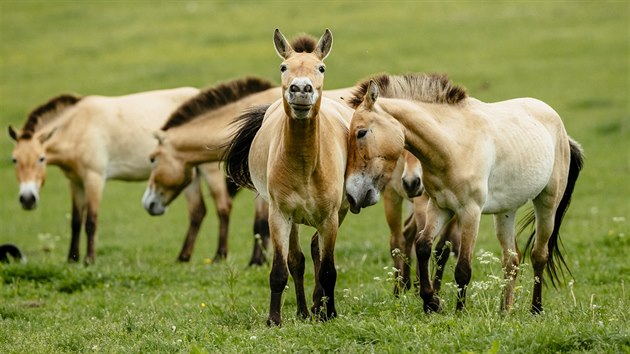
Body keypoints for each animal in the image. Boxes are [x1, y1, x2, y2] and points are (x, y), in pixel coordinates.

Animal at [6, 88, 235, 264]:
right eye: (14, 159)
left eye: (41, 158)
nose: (27, 199)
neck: (78, 126)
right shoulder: (75, 181)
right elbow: (76, 221)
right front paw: (72, 259)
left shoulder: (94, 178)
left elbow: (91, 220)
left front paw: (89, 260)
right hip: (187, 175)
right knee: (197, 211)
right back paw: (183, 257)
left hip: (209, 170)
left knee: (223, 207)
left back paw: (219, 256)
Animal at [142, 77, 282, 266]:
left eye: (152, 159)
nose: (147, 202)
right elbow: (261, 223)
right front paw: (257, 261)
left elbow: (261, 223)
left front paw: (252, 261)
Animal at [226, 30, 356, 326]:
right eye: (283, 67)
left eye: (321, 68)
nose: (301, 89)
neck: (306, 164)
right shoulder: (279, 215)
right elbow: (280, 270)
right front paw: (274, 320)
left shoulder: (330, 217)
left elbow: (328, 269)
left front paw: (329, 314)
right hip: (294, 219)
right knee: (297, 259)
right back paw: (304, 311)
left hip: (338, 213)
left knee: (317, 250)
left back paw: (319, 308)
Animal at [346, 73, 588, 314]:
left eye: (361, 132)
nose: (353, 195)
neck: (453, 144)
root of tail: (560, 127)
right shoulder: (439, 207)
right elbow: (423, 246)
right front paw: (431, 302)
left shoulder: (470, 212)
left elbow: (462, 267)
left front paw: (459, 311)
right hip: (506, 211)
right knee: (511, 259)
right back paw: (504, 311)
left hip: (547, 203)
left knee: (539, 255)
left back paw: (535, 309)